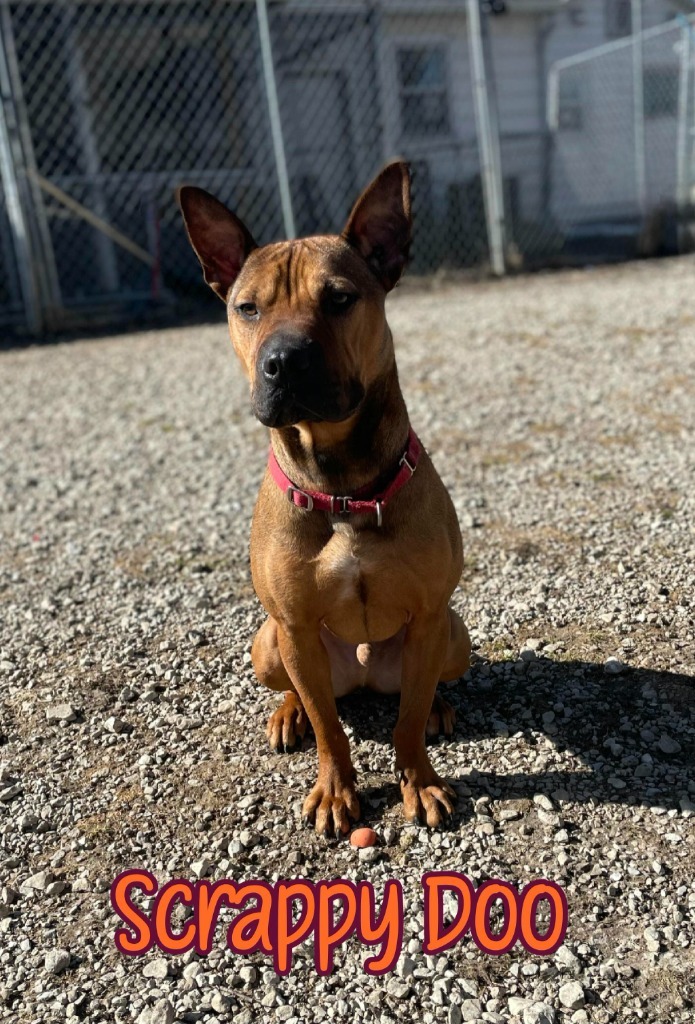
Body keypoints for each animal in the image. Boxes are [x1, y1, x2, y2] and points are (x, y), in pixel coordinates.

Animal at [179, 163, 472, 835]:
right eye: (248, 308)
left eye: (339, 298)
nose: (283, 362)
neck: (342, 489)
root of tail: (361, 672)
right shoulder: (294, 626)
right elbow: (329, 729)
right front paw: (337, 790)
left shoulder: (427, 617)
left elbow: (406, 722)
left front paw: (419, 781)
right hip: (268, 643)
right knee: (303, 693)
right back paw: (288, 714)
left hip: (455, 634)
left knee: (421, 686)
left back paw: (439, 705)